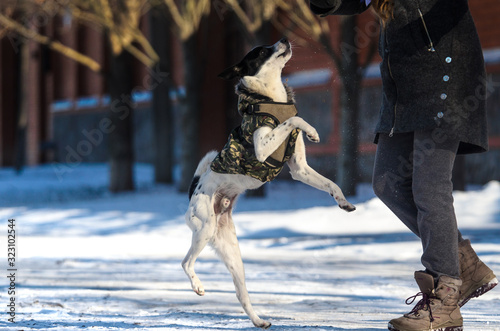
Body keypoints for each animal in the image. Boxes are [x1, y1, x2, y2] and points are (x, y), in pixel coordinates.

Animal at [182, 37, 354, 328]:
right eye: (262, 51)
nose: (284, 39)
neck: (272, 98)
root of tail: (194, 190)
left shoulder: (300, 169)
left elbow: (331, 184)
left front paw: (343, 202)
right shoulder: (263, 148)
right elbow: (294, 119)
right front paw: (312, 130)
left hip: (231, 252)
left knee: (241, 294)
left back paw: (259, 321)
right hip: (204, 229)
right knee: (185, 262)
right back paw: (198, 286)